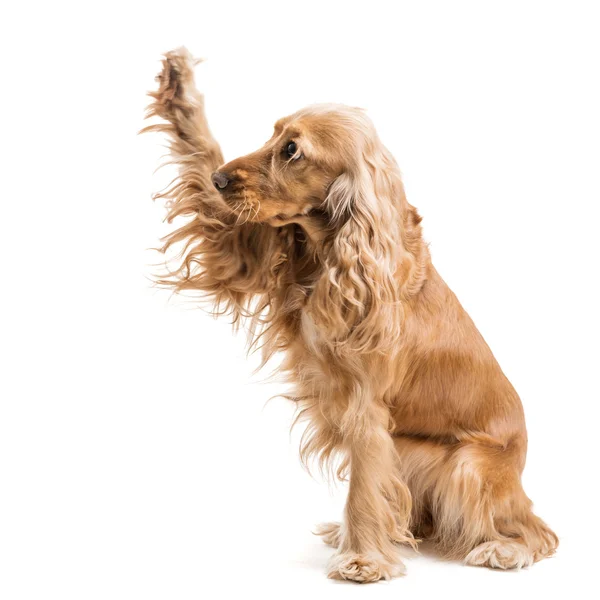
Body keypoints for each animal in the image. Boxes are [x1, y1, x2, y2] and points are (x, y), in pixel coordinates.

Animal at [145, 49, 556, 584]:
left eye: (292, 150)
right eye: (271, 135)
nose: (221, 182)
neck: (336, 251)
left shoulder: (366, 406)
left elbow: (363, 487)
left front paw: (363, 559)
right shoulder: (240, 247)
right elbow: (205, 155)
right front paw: (181, 90)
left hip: (467, 462)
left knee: (534, 530)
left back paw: (503, 550)